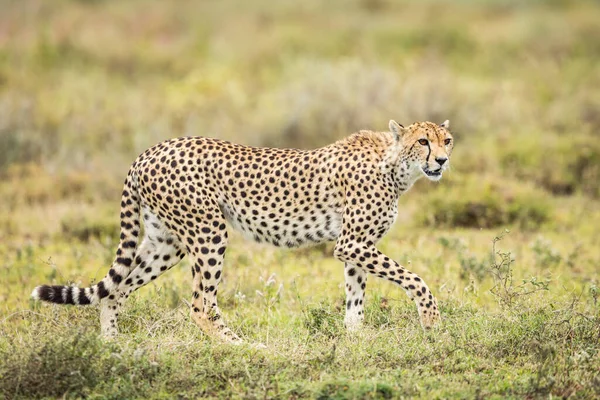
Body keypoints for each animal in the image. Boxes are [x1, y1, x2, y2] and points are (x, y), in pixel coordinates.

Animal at [32, 119, 452, 344]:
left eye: (446, 140)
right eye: (423, 141)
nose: (444, 160)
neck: (395, 165)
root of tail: (151, 150)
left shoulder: (355, 247)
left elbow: (355, 297)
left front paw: (354, 338)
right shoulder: (351, 243)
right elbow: (415, 279)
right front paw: (432, 322)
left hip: (165, 244)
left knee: (115, 290)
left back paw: (112, 345)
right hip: (208, 231)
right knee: (201, 305)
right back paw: (242, 347)